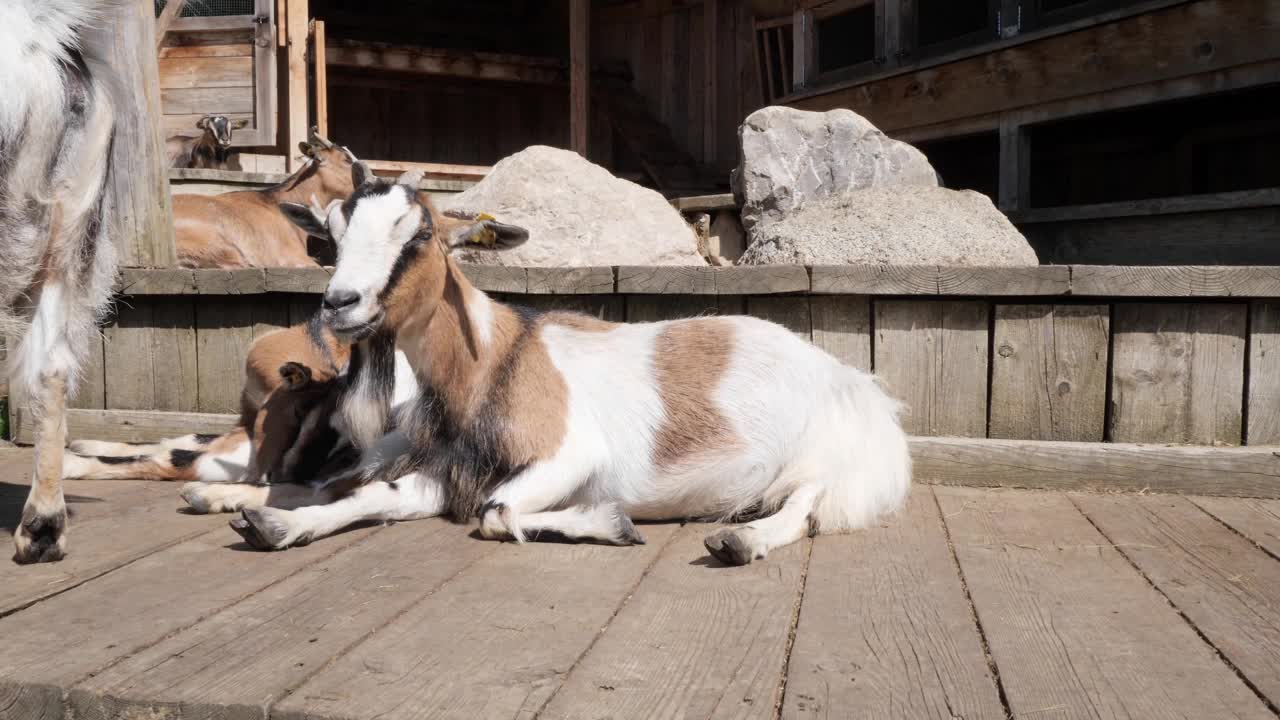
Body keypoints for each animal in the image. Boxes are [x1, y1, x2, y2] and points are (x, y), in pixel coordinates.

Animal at [220, 159, 916, 563]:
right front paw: (272, 524)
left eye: (419, 234)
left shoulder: (569, 456)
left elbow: (498, 515)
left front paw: (612, 522)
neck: (494, 359)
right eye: (331, 237)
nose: (341, 304)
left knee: (807, 504)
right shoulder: (447, 473)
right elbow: (373, 496)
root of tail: (854, 381)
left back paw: (740, 540)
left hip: (822, 454)